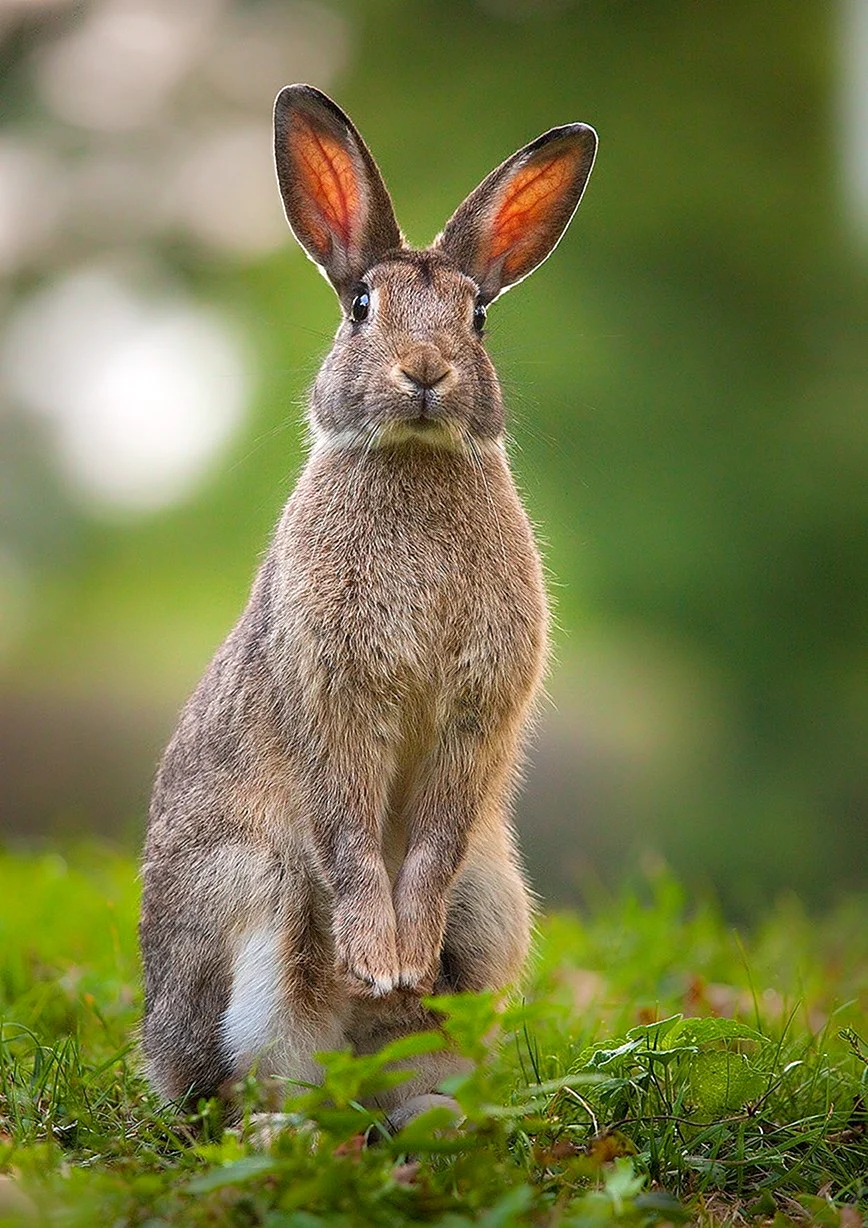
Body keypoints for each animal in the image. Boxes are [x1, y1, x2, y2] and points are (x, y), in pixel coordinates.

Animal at [139, 84, 597, 1127]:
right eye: (360, 307)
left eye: (479, 317)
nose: (425, 371)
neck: (415, 460)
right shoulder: (336, 694)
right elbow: (350, 829)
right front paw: (377, 953)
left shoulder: (474, 717)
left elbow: (428, 844)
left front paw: (402, 958)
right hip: (255, 896)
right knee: (244, 1078)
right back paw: (281, 1117)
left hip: (492, 909)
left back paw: (433, 1109)